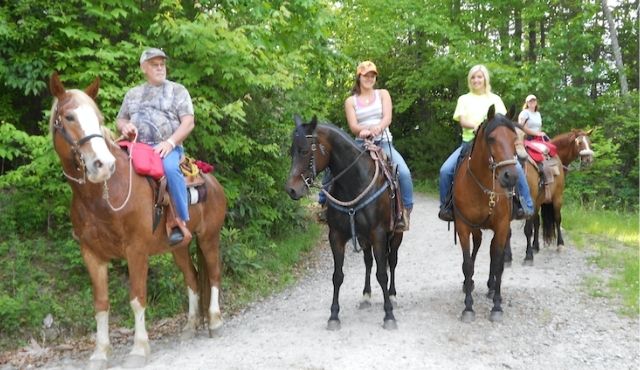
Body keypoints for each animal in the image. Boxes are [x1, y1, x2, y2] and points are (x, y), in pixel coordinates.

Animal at [48, 73, 226, 368]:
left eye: (97, 117)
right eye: (69, 116)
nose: (103, 164)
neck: (104, 195)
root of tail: (211, 180)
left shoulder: (136, 251)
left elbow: (137, 298)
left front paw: (139, 349)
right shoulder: (91, 255)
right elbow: (101, 304)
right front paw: (100, 353)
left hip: (209, 238)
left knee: (213, 275)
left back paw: (214, 321)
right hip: (179, 247)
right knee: (192, 278)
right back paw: (190, 327)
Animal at [284, 115, 400, 330]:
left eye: (304, 150)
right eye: (291, 151)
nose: (291, 189)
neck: (355, 184)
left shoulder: (378, 234)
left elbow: (382, 273)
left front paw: (389, 314)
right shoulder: (336, 236)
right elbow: (337, 276)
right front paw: (334, 316)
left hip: (396, 235)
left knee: (392, 261)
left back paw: (393, 295)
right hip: (363, 239)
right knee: (368, 262)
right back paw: (366, 295)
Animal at [450, 105, 520, 322]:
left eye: (514, 138)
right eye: (491, 139)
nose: (510, 176)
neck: (484, 187)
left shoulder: (502, 225)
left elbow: (498, 264)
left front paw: (497, 306)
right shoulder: (463, 226)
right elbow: (467, 265)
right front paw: (468, 307)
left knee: (493, 254)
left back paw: (491, 288)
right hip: (476, 227)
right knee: (480, 244)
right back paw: (470, 283)